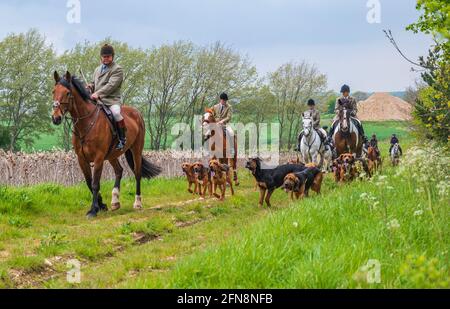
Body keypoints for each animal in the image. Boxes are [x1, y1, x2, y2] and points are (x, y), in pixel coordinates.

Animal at [51, 71, 162, 218]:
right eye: (53, 91)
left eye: (68, 93)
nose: (55, 118)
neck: (86, 122)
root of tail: (136, 113)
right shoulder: (81, 159)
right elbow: (89, 182)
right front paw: (102, 205)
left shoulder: (98, 158)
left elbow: (95, 183)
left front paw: (93, 210)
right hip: (112, 155)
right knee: (119, 171)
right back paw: (115, 202)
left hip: (136, 150)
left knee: (137, 173)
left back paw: (137, 203)